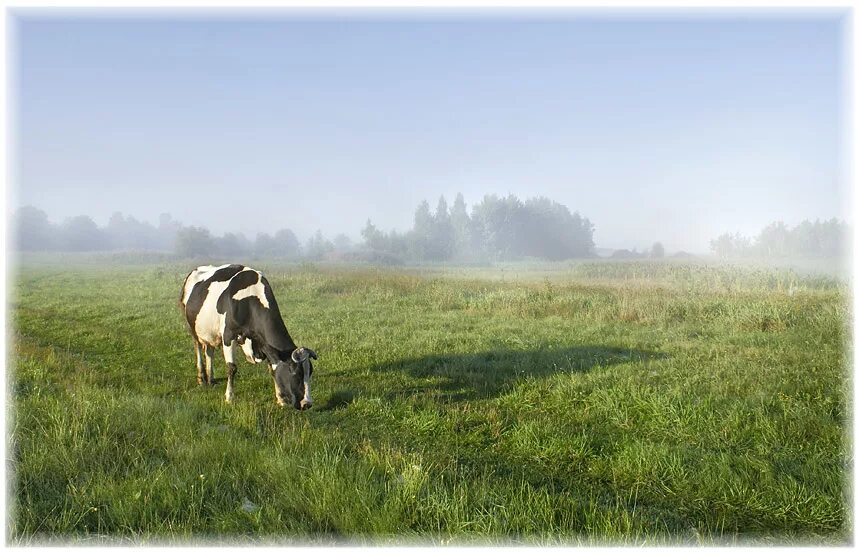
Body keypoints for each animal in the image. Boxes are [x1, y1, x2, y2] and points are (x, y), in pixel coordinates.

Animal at [180, 264, 318, 410]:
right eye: (296, 373)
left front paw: (280, 399)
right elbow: (231, 368)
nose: (307, 403)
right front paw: (229, 397)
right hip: (192, 328)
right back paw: (201, 379)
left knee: (209, 351)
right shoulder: (228, 335)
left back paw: (210, 378)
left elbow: (272, 368)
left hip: (210, 332)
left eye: (310, 372)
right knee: (198, 348)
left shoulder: (265, 345)